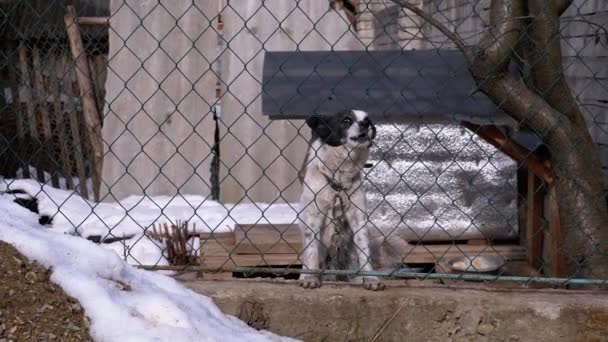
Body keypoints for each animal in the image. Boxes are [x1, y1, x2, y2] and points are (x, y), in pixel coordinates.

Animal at [300, 110, 384, 292]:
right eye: (346, 120)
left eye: (367, 119)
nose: (365, 124)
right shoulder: (313, 217)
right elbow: (311, 251)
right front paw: (310, 278)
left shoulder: (358, 217)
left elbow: (364, 252)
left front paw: (371, 279)